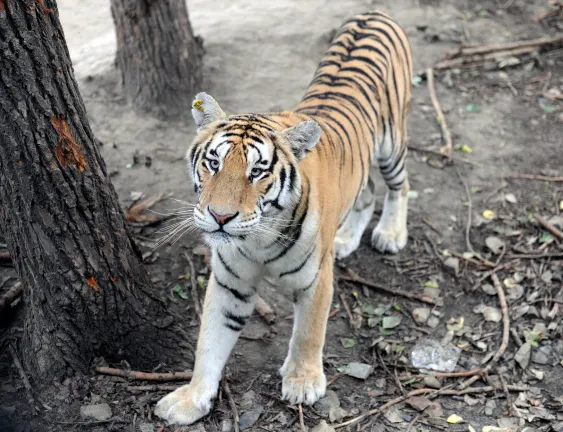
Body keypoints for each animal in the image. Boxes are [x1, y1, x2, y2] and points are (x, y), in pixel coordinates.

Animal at [156, 9, 412, 426]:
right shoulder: (229, 283)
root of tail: (374, 12)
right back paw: (346, 238)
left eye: (258, 172)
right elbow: (208, 343)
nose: (220, 217)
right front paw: (190, 399)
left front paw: (303, 382)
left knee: (399, 184)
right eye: (213, 163)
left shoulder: (316, 279)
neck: (257, 239)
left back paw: (390, 232)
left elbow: (309, 331)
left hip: (391, 141)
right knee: (367, 189)